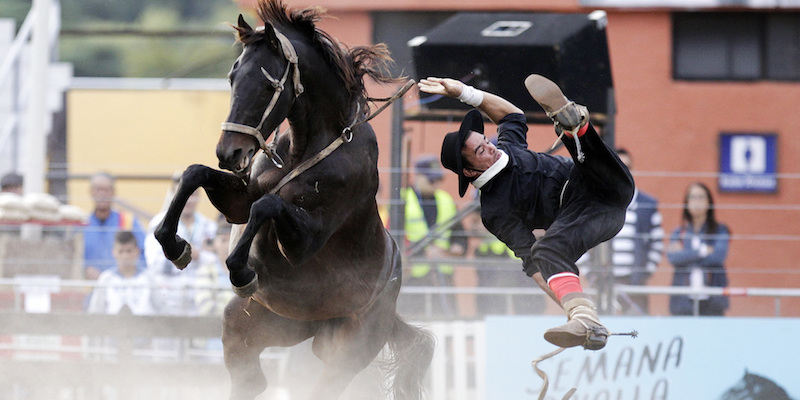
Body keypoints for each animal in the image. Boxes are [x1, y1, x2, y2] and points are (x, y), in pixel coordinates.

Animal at [154, 1, 434, 398]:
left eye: (267, 83)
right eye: (232, 78)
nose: (229, 152)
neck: (311, 145)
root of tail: (392, 311)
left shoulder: (306, 240)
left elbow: (268, 205)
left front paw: (241, 271)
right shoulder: (239, 200)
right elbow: (196, 174)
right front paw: (174, 245)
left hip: (346, 351)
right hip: (254, 326)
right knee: (250, 380)